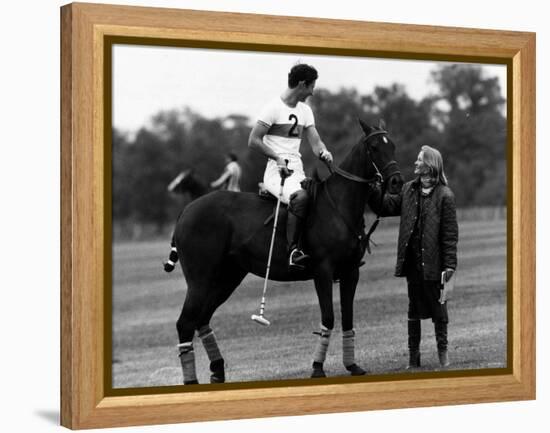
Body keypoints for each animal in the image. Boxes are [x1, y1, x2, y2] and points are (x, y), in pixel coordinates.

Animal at [169, 120, 406, 384]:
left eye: (392, 145)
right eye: (374, 147)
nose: (396, 182)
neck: (340, 205)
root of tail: (185, 211)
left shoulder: (351, 271)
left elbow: (348, 318)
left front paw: (353, 365)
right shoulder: (323, 271)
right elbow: (329, 317)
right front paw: (317, 368)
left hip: (227, 277)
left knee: (201, 318)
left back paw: (218, 371)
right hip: (200, 279)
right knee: (185, 322)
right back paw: (192, 381)